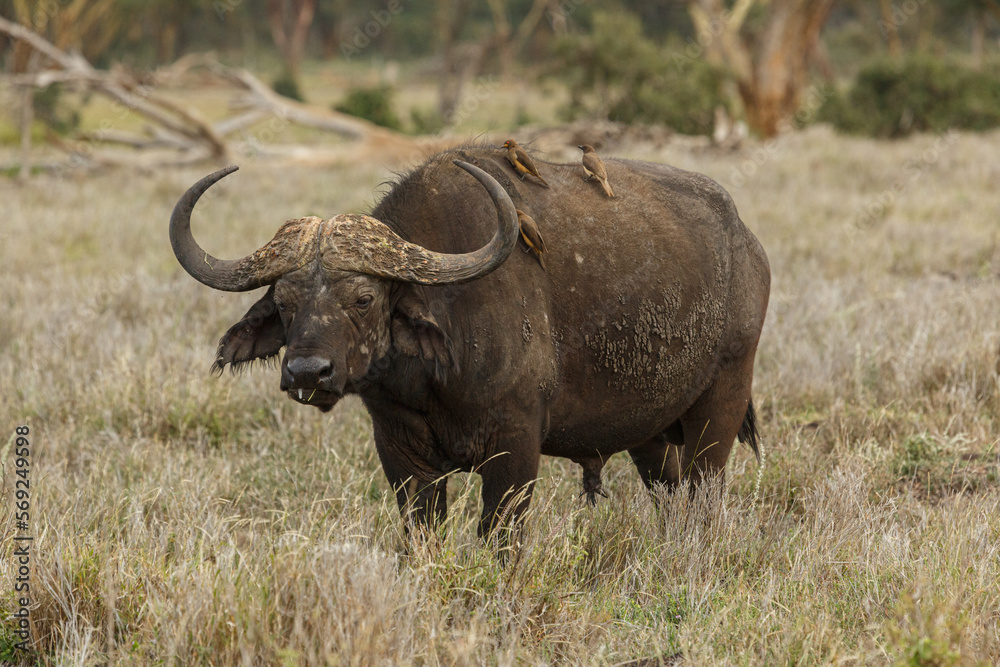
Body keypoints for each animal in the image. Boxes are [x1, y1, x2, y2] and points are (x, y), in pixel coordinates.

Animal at [172, 149, 768, 540]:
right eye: (284, 301)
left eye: (363, 298)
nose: (306, 372)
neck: (433, 378)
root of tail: (746, 243)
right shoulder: (402, 455)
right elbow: (421, 535)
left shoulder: (515, 450)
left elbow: (499, 537)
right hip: (647, 429)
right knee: (669, 493)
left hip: (722, 402)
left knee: (704, 493)